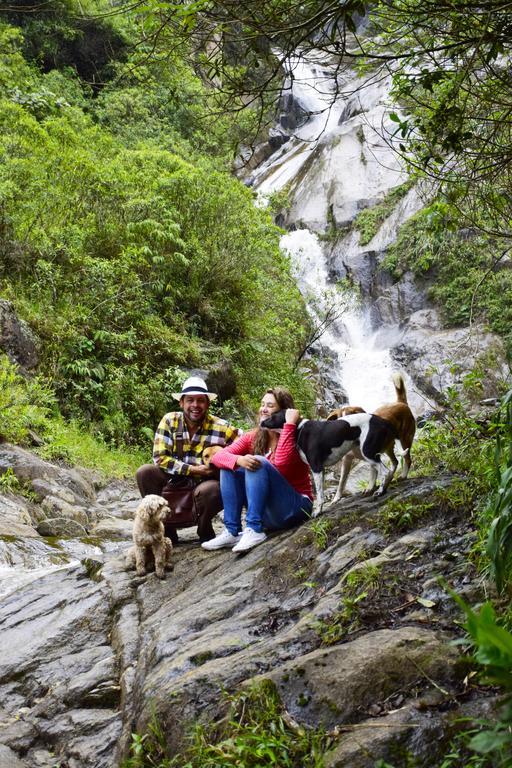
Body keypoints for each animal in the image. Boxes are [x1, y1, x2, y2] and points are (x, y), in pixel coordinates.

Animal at [262, 412, 398, 512]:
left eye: (273, 416)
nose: (261, 422)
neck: (299, 429)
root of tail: (382, 420)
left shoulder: (316, 468)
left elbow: (319, 495)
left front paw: (317, 512)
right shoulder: (320, 470)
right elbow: (321, 492)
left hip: (367, 451)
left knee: (385, 471)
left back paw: (380, 491)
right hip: (362, 452)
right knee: (380, 468)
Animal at [328, 372, 416, 504]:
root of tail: (401, 403)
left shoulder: (372, 455)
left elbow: (372, 473)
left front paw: (370, 487)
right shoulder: (347, 459)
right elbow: (342, 481)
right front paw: (336, 498)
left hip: (405, 439)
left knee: (407, 459)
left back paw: (402, 476)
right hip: (388, 447)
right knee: (394, 462)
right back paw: (389, 479)